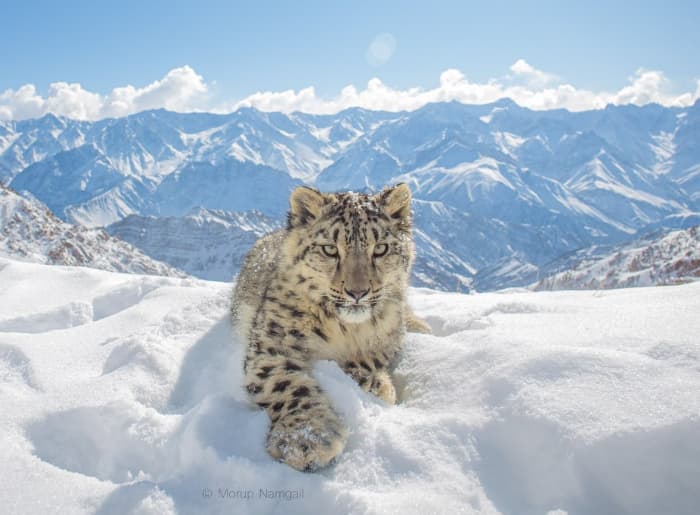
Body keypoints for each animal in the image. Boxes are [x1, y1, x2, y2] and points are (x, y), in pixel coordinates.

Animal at [231, 183, 431, 472]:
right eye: (330, 249)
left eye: (381, 248)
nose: (357, 292)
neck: (346, 329)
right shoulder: (272, 345)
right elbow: (287, 385)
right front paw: (305, 440)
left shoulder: (389, 338)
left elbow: (368, 359)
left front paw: (377, 383)